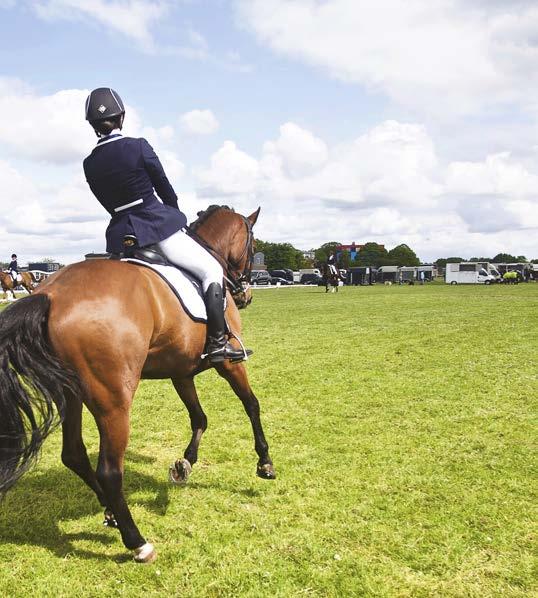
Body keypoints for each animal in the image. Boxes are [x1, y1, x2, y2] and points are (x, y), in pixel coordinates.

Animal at [0, 205, 274, 564]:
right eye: (253, 247)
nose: (246, 295)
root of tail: (50, 294)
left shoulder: (181, 371)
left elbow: (199, 418)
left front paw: (184, 464)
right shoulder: (230, 363)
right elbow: (251, 404)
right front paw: (265, 463)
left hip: (71, 394)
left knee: (74, 454)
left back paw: (112, 514)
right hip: (114, 401)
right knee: (109, 470)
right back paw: (137, 542)